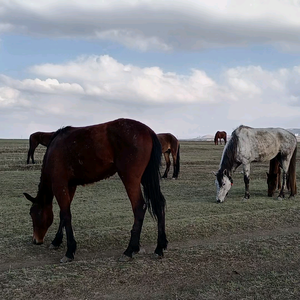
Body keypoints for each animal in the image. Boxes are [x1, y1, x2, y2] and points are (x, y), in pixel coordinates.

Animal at [22, 118, 169, 264]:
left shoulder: (60, 185)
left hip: (130, 179)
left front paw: (69, 251)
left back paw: (129, 250)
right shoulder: (70, 186)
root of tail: (148, 131)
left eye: (33, 214)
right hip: (146, 177)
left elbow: (66, 215)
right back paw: (159, 247)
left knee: (139, 207)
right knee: (159, 203)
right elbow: (63, 214)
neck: (53, 150)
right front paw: (57, 241)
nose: (36, 240)